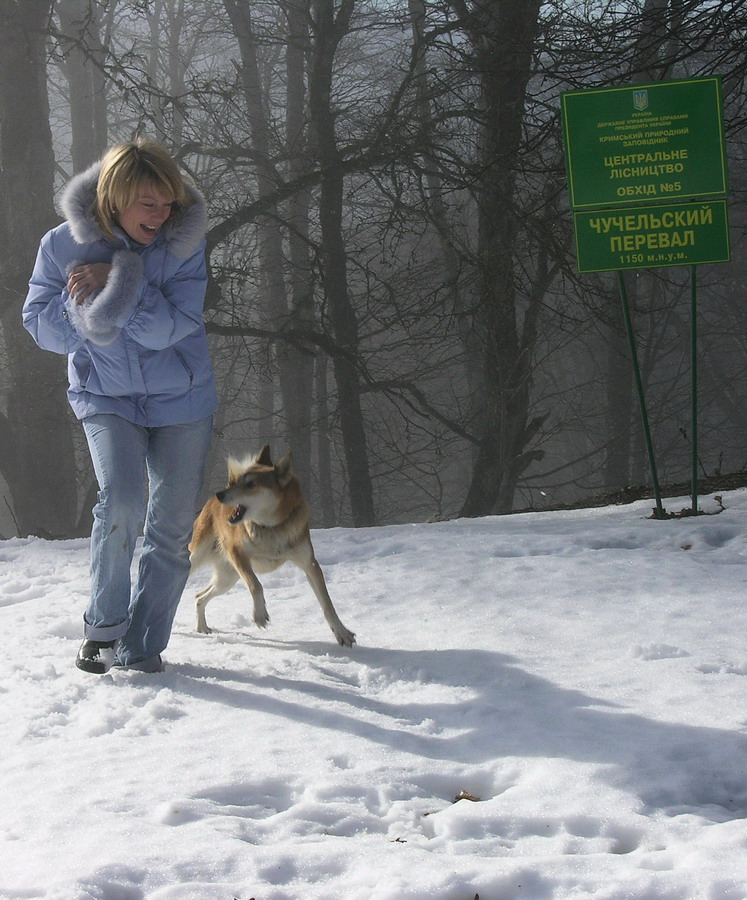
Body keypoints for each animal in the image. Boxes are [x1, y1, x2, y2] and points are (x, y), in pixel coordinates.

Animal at [188, 444, 356, 648]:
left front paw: (342, 633)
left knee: (199, 597)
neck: (270, 527)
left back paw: (202, 627)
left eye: (250, 484)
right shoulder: (238, 554)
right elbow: (255, 584)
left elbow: (327, 603)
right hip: (197, 559)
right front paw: (259, 614)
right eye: (237, 482)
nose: (220, 494)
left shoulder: (310, 565)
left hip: (227, 578)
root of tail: (208, 503)